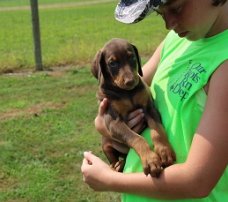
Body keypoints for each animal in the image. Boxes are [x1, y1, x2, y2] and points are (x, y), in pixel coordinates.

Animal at [91, 38, 175, 177]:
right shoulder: (114, 122)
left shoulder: (149, 108)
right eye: (112, 63)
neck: (126, 93)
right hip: (106, 143)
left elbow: (157, 130)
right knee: (113, 158)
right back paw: (116, 166)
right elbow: (136, 138)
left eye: (132, 58)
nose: (130, 81)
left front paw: (164, 151)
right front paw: (150, 159)